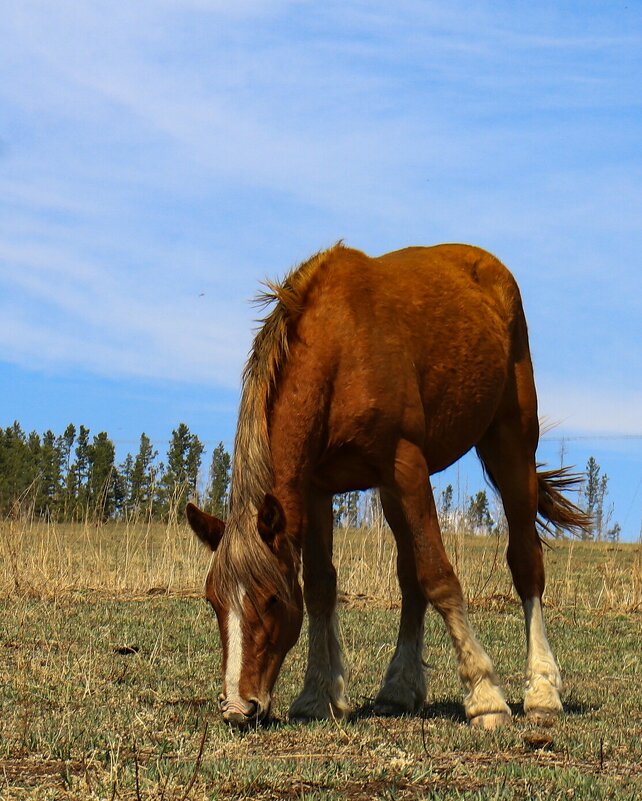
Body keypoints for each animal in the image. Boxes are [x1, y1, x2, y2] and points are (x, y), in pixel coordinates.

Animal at [184, 241, 584, 728]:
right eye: (213, 602)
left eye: (272, 600)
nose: (239, 708)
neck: (338, 348)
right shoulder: (316, 490)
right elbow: (321, 587)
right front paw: (318, 695)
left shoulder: (406, 465)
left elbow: (440, 576)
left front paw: (485, 696)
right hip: (393, 494)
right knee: (409, 577)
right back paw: (398, 689)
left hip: (510, 442)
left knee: (524, 562)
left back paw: (543, 691)